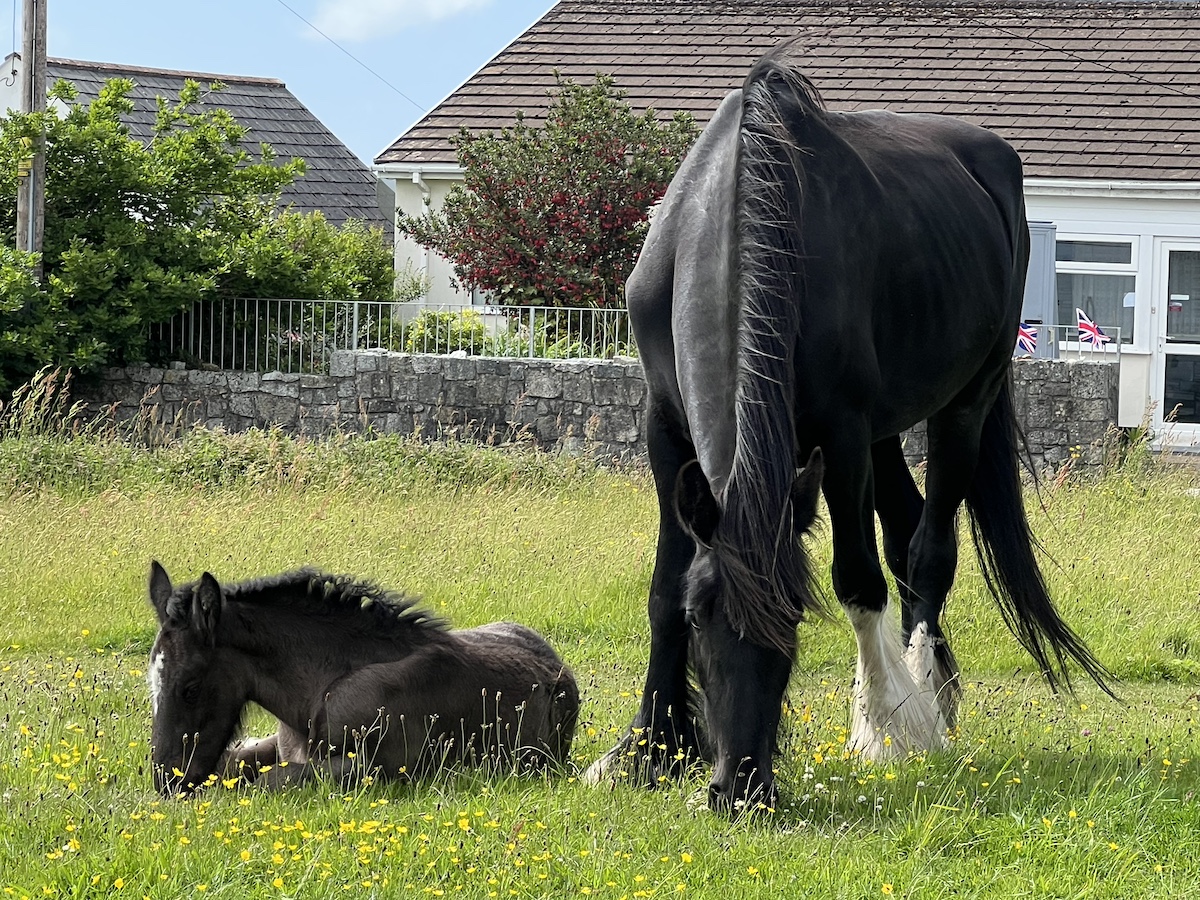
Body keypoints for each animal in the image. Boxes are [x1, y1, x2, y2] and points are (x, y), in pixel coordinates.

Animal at [146, 561, 580, 795]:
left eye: (190, 688)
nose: (167, 780)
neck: (322, 686)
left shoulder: (378, 768)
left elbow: (265, 782)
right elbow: (233, 764)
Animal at [584, 48, 1111, 812]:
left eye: (794, 625)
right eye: (703, 621)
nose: (739, 790)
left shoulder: (843, 434)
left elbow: (857, 578)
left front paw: (882, 730)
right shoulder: (664, 429)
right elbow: (662, 589)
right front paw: (646, 749)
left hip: (962, 405)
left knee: (928, 550)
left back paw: (923, 700)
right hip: (888, 432)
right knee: (908, 531)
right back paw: (937, 693)